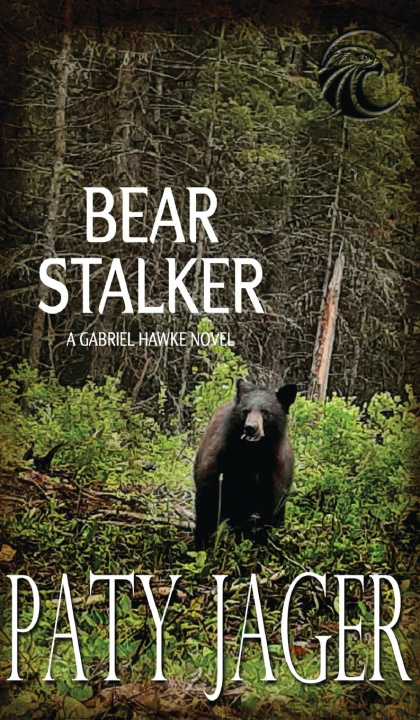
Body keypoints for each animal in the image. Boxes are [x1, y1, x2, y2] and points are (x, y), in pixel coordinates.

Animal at [194, 378, 297, 549]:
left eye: (265, 412)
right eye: (246, 411)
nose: (250, 428)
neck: (251, 454)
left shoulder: (274, 474)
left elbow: (270, 511)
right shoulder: (220, 465)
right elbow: (207, 505)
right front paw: (203, 545)